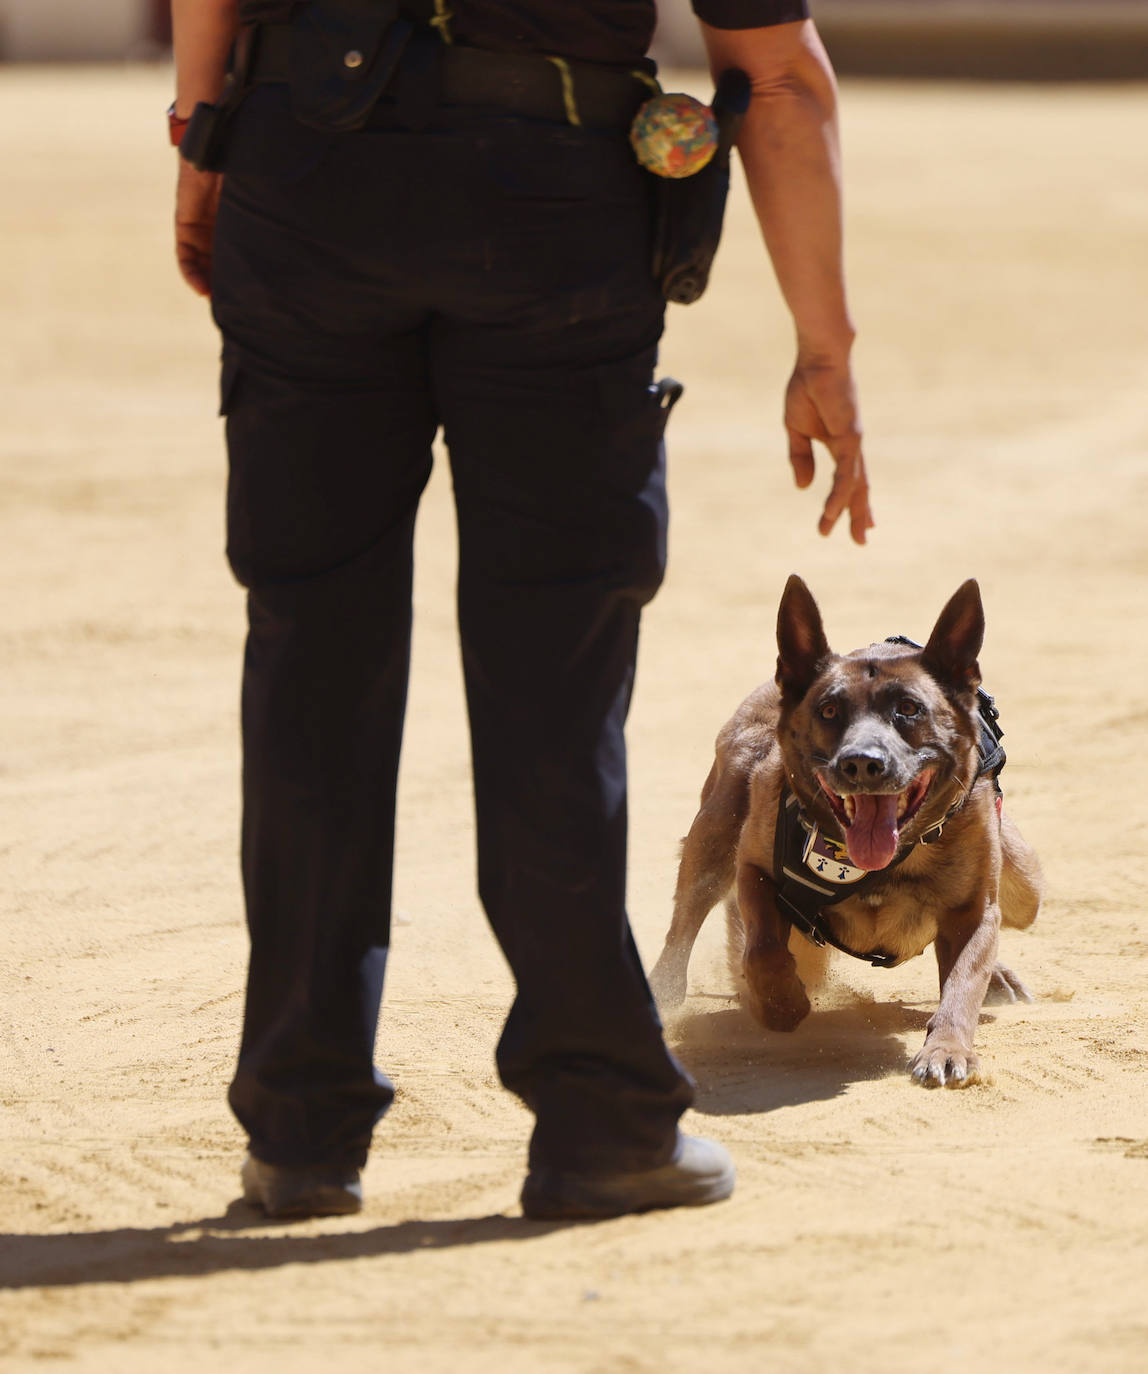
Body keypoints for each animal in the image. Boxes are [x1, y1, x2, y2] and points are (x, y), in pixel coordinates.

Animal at [650, 574, 1043, 1088]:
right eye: (830, 710)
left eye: (909, 708)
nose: (862, 763)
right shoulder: (753, 868)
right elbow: (762, 948)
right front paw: (780, 1003)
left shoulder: (975, 910)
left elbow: (961, 986)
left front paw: (947, 1049)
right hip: (712, 840)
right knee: (683, 928)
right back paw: (664, 992)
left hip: (1024, 884)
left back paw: (998, 976)